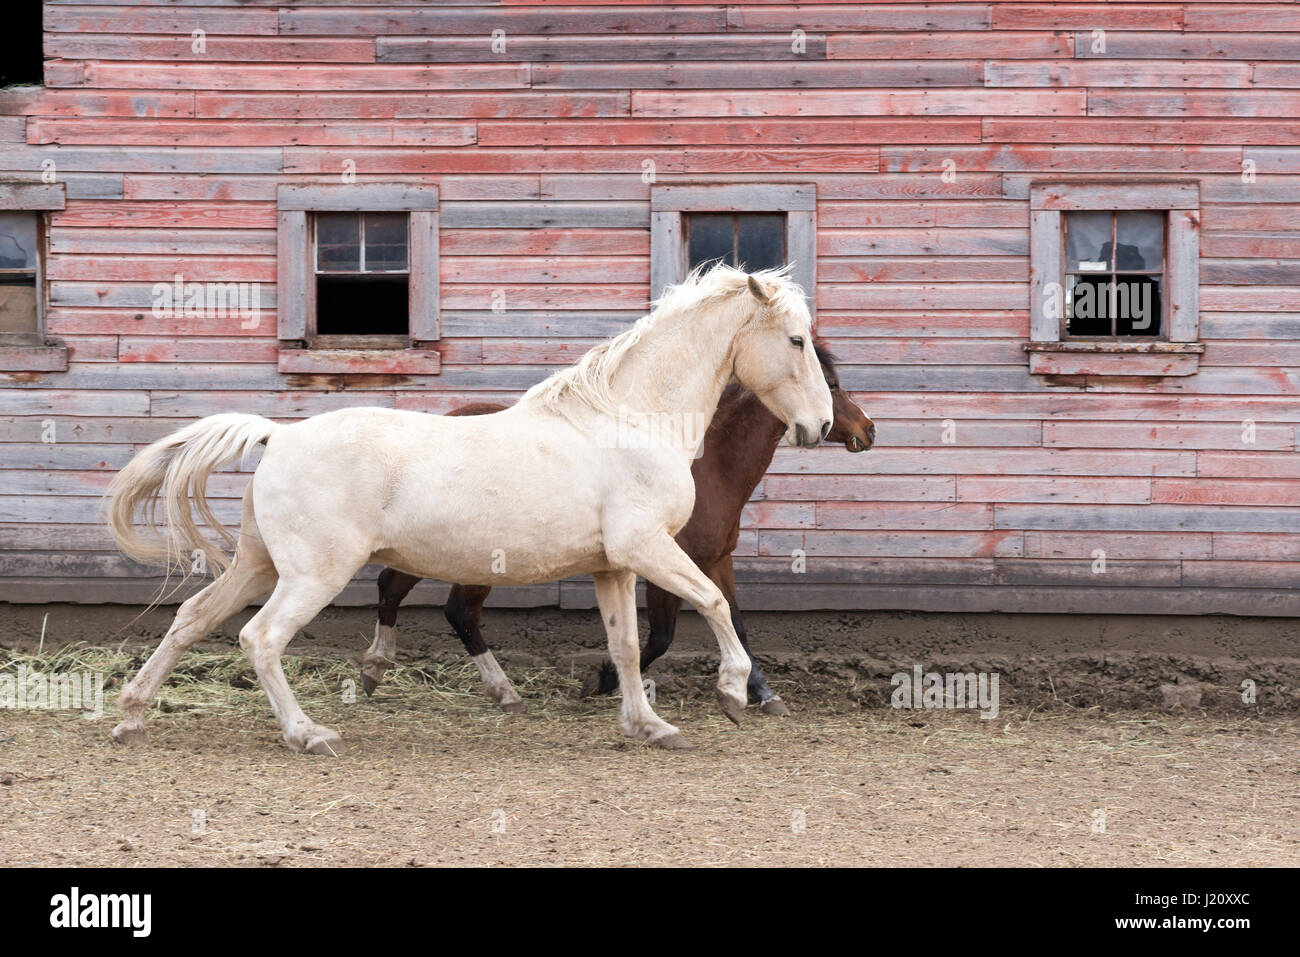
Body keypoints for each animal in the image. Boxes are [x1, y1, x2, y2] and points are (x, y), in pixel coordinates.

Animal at [359, 345, 876, 716]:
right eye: (830, 382)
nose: (868, 430)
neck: (705, 467)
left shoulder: (715, 561)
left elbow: (736, 622)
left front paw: (764, 694)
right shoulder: (660, 564)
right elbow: (662, 637)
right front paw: (601, 681)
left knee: (403, 590)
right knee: (454, 611)